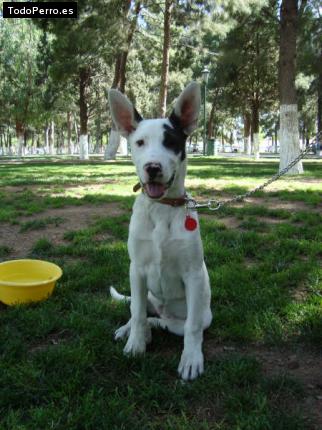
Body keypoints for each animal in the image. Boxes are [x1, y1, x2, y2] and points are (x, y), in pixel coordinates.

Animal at [108, 83, 213, 380]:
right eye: (140, 143)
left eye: (170, 141)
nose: (152, 168)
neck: (161, 208)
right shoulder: (136, 269)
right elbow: (136, 311)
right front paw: (135, 344)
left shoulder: (193, 274)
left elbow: (191, 329)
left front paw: (191, 359)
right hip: (147, 293)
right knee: (140, 311)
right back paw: (132, 331)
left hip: (202, 314)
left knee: (167, 323)